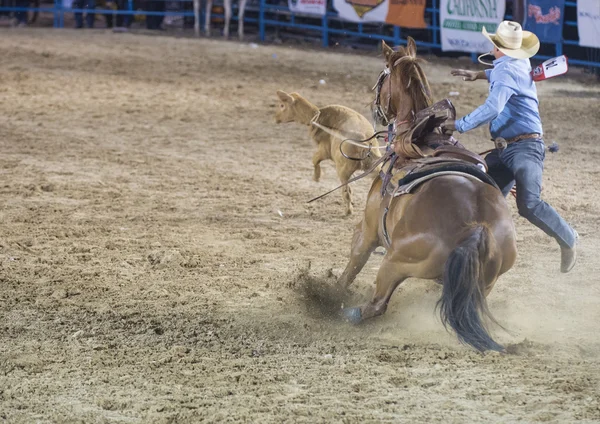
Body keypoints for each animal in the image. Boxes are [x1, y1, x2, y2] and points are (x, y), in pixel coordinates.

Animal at [338, 39, 516, 352]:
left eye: (382, 77)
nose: (375, 109)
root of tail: (477, 226)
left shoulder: (367, 232)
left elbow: (352, 267)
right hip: (484, 283)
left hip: (394, 262)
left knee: (377, 304)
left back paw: (344, 312)